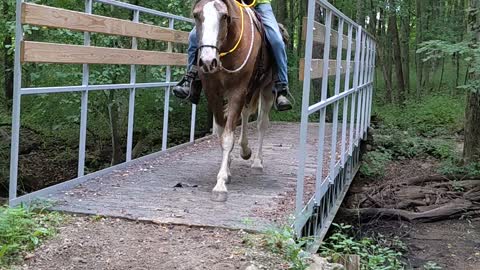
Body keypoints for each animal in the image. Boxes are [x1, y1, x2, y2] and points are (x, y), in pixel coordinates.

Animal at [191, 0, 282, 200]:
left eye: (224, 16)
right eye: (196, 15)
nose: (207, 61)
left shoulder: (237, 91)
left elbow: (227, 136)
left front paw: (220, 184)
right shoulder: (212, 92)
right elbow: (221, 131)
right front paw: (228, 166)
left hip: (266, 89)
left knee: (262, 124)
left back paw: (257, 162)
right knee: (246, 115)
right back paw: (245, 150)